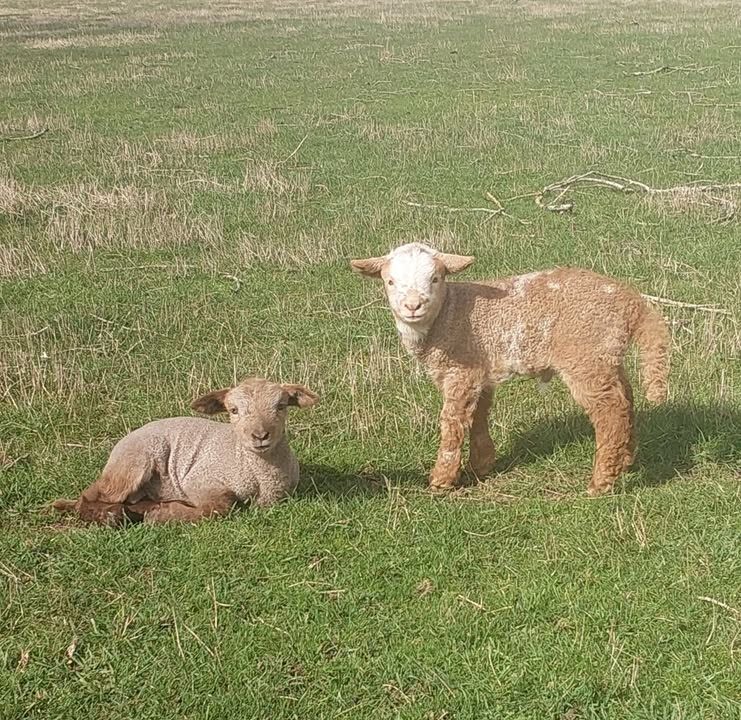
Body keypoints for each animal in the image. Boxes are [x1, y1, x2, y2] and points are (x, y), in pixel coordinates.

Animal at [52, 377, 319, 525]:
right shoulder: (200, 481)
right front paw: (167, 515)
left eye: (281, 406)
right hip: (133, 462)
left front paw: (162, 513)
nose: (260, 436)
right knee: (91, 495)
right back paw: (111, 517)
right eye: (233, 410)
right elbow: (221, 506)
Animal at [351, 242, 670, 496]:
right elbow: (478, 415)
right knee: (625, 400)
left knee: (610, 411)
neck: (449, 314)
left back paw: (601, 482)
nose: (413, 305)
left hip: (585, 357)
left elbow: (452, 423)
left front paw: (442, 480)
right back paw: (624, 461)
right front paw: (481, 465)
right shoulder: (480, 372)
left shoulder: (461, 372)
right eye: (390, 281)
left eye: (435, 278)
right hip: (607, 355)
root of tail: (632, 303)